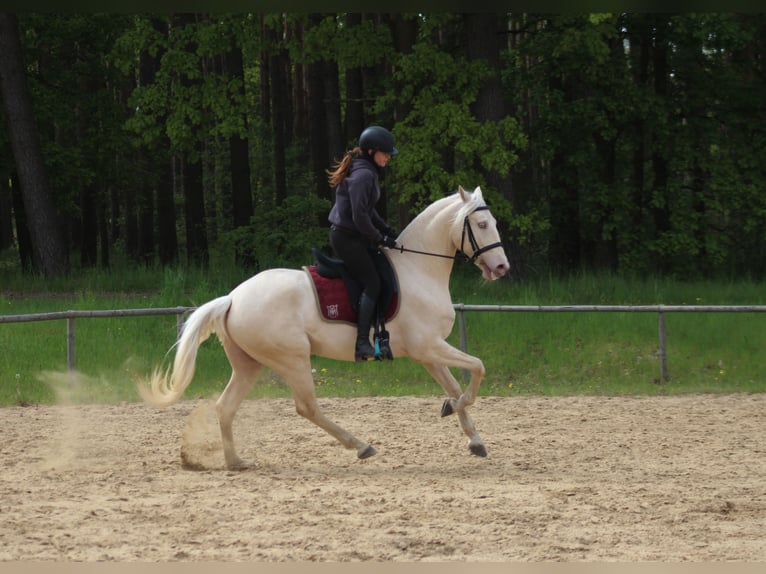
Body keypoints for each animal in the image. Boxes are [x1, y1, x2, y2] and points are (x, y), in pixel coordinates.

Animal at [139, 186, 509, 469]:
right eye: (481, 224)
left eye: (492, 222)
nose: (502, 267)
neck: (418, 269)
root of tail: (232, 298)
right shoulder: (429, 346)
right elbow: (478, 368)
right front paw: (456, 411)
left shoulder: (428, 352)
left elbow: (454, 386)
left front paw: (472, 436)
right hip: (293, 359)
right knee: (307, 407)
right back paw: (360, 445)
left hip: (249, 364)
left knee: (226, 406)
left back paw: (236, 462)